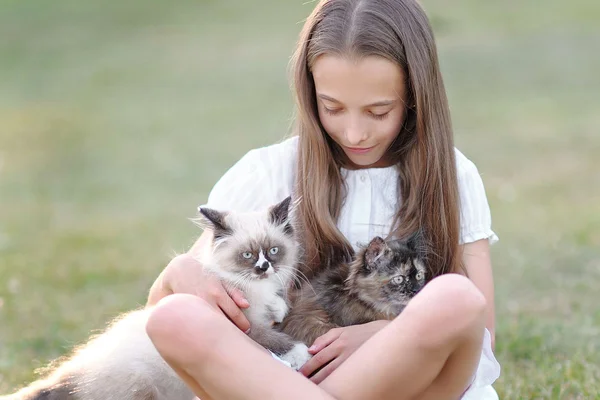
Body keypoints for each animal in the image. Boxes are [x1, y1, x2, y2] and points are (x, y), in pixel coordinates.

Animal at [4, 197, 312, 400]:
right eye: (247, 255)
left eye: (273, 251)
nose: (264, 267)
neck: (252, 287)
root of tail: (71, 373)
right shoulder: (245, 325)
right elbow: (277, 340)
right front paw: (301, 353)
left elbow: (276, 308)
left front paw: (278, 308)